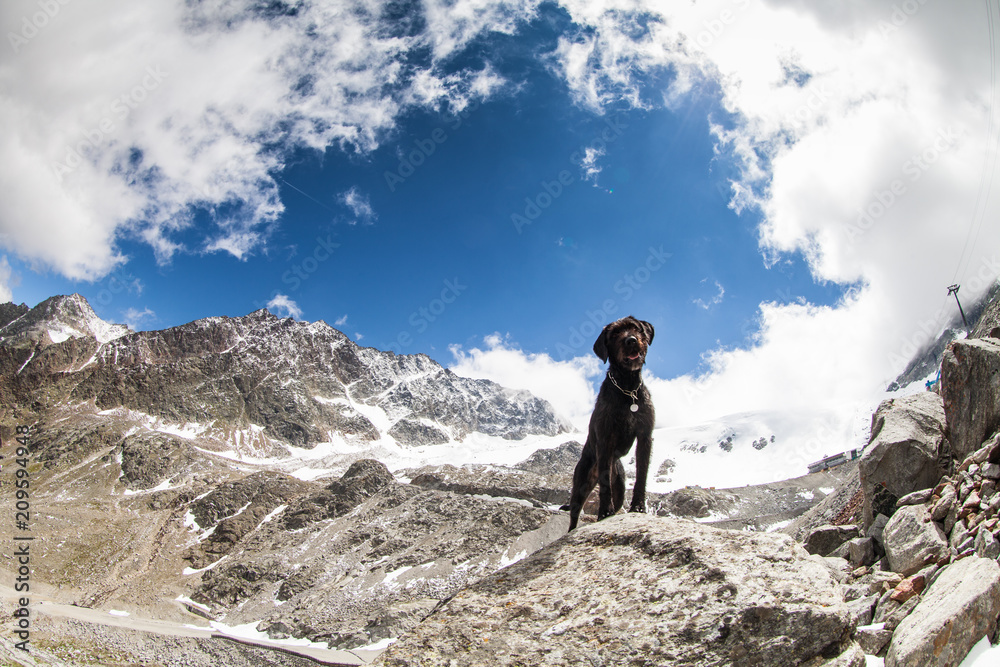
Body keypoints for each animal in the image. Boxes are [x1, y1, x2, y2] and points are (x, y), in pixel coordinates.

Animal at [572, 318, 656, 532]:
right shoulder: (605, 440)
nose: (631, 340)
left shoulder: (645, 436)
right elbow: (604, 484)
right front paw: (604, 512)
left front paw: (638, 507)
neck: (627, 388)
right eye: (614, 334)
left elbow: (642, 474)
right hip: (580, 486)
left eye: (635, 327)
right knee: (574, 516)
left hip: (620, 488)